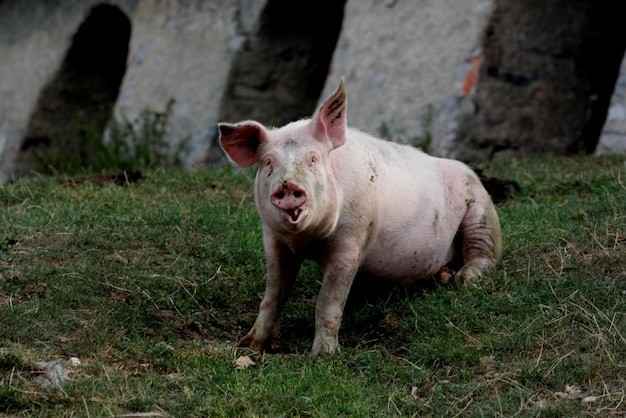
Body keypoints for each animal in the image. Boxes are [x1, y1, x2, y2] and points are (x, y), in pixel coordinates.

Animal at [217, 79, 500, 356]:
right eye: (268, 163)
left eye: (313, 158)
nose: (288, 186)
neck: (307, 242)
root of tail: (470, 172)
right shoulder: (274, 241)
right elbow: (273, 294)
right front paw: (247, 345)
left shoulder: (351, 243)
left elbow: (328, 300)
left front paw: (321, 356)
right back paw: (446, 275)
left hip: (481, 213)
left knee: (484, 255)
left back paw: (464, 279)